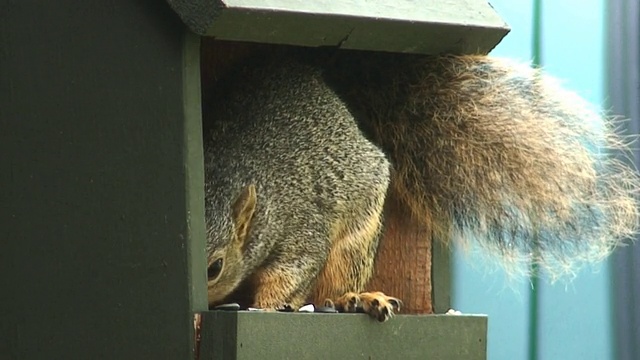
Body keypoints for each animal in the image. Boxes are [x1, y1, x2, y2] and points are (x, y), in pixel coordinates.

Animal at [201, 46, 640, 322]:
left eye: (215, 268)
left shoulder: (301, 229)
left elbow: (291, 273)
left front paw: (267, 307)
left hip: (356, 239)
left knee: (333, 286)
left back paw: (357, 299)